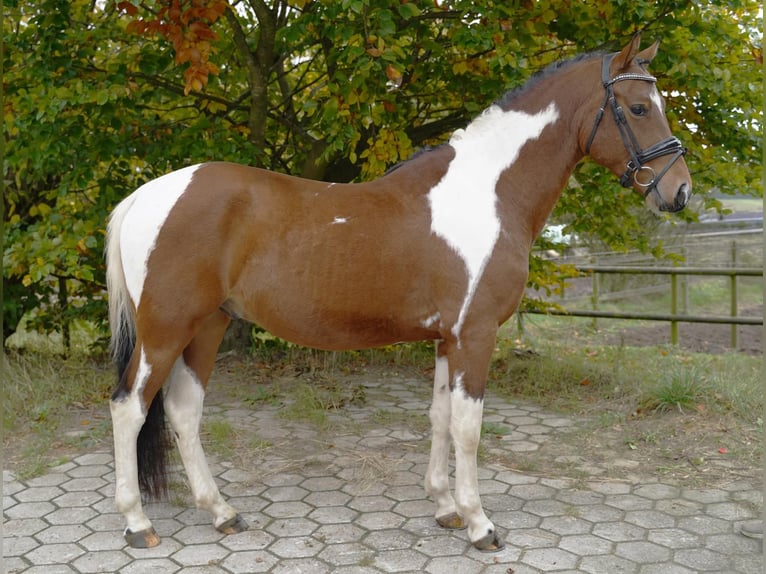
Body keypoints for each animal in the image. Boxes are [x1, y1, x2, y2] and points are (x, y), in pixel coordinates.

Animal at [106, 35, 691, 551]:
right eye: (639, 107)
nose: (678, 190)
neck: (489, 192)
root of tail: (144, 195)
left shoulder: (446, 338)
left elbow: (439, 418)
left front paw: (446, 508)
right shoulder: (475, 336)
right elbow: (469, 428)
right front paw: (480, 524)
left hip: (208, 326)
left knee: (183, 411)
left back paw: (222, 512)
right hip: (167, 330)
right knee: (129, 408)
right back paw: (136, 524)